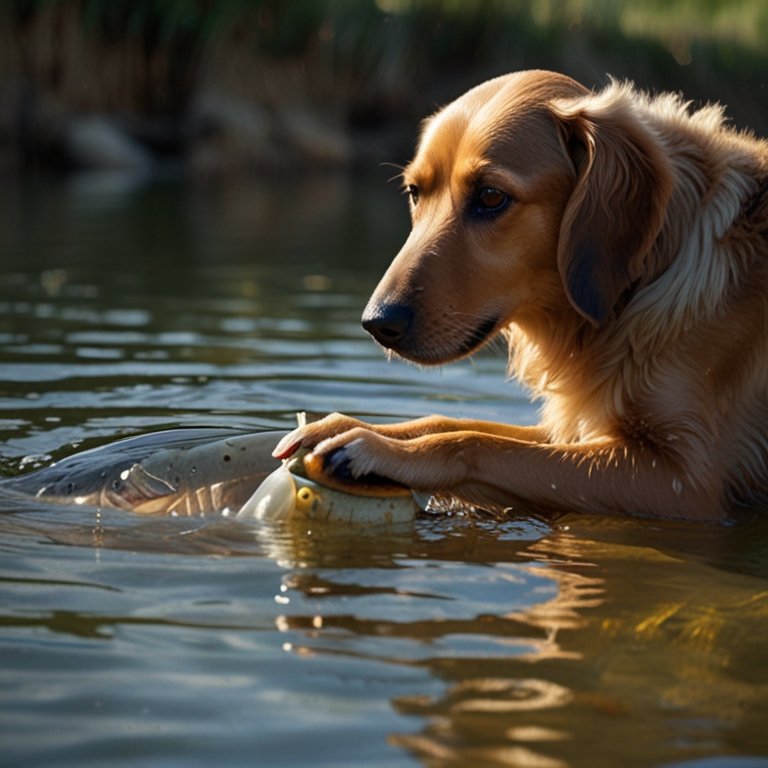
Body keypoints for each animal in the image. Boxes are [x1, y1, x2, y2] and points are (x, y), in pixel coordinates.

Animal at [274, 70, 768, 520]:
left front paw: (384, 450)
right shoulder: (575, 428)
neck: (641, 282)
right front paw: (350, 425)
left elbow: (475, 443)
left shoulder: (683, 480)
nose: (377, 324)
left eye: (492, 197)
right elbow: (452, 421)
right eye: (415, 192)